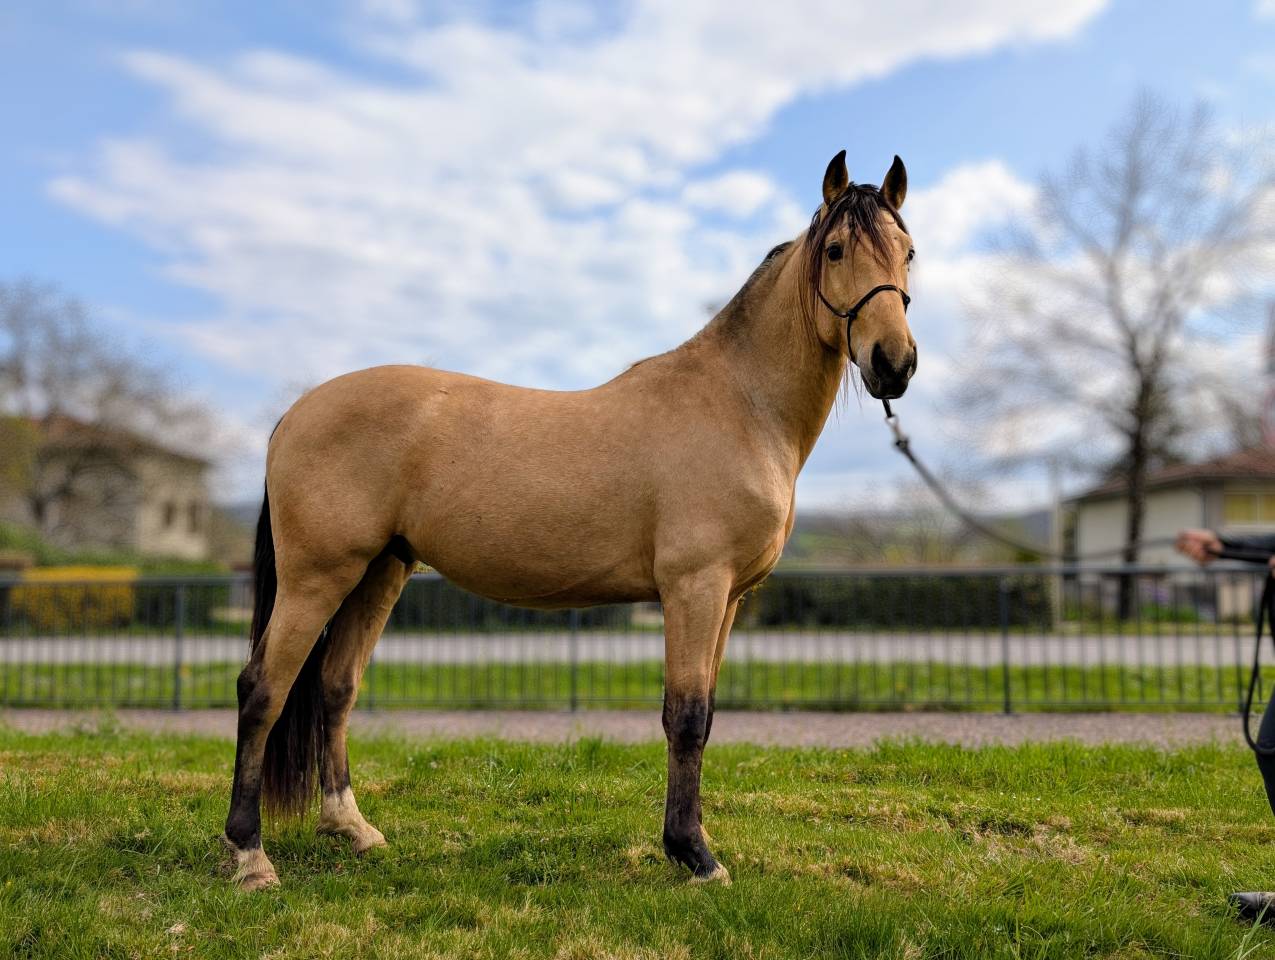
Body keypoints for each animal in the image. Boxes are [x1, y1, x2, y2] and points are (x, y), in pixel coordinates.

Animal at [224, 150, 917, 890]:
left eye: (907, 252)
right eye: (837, 249)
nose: (893, 363)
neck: (740, 404)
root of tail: (294, 414)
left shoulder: (728, 598)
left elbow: (702, 715)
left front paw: (689, 844)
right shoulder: (694, 587)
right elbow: (685, 717)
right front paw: (695, 855)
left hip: (380, 571)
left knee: (335, 686)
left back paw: (352, 829)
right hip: (317, 577)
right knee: (262, 689)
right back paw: (249, 855)